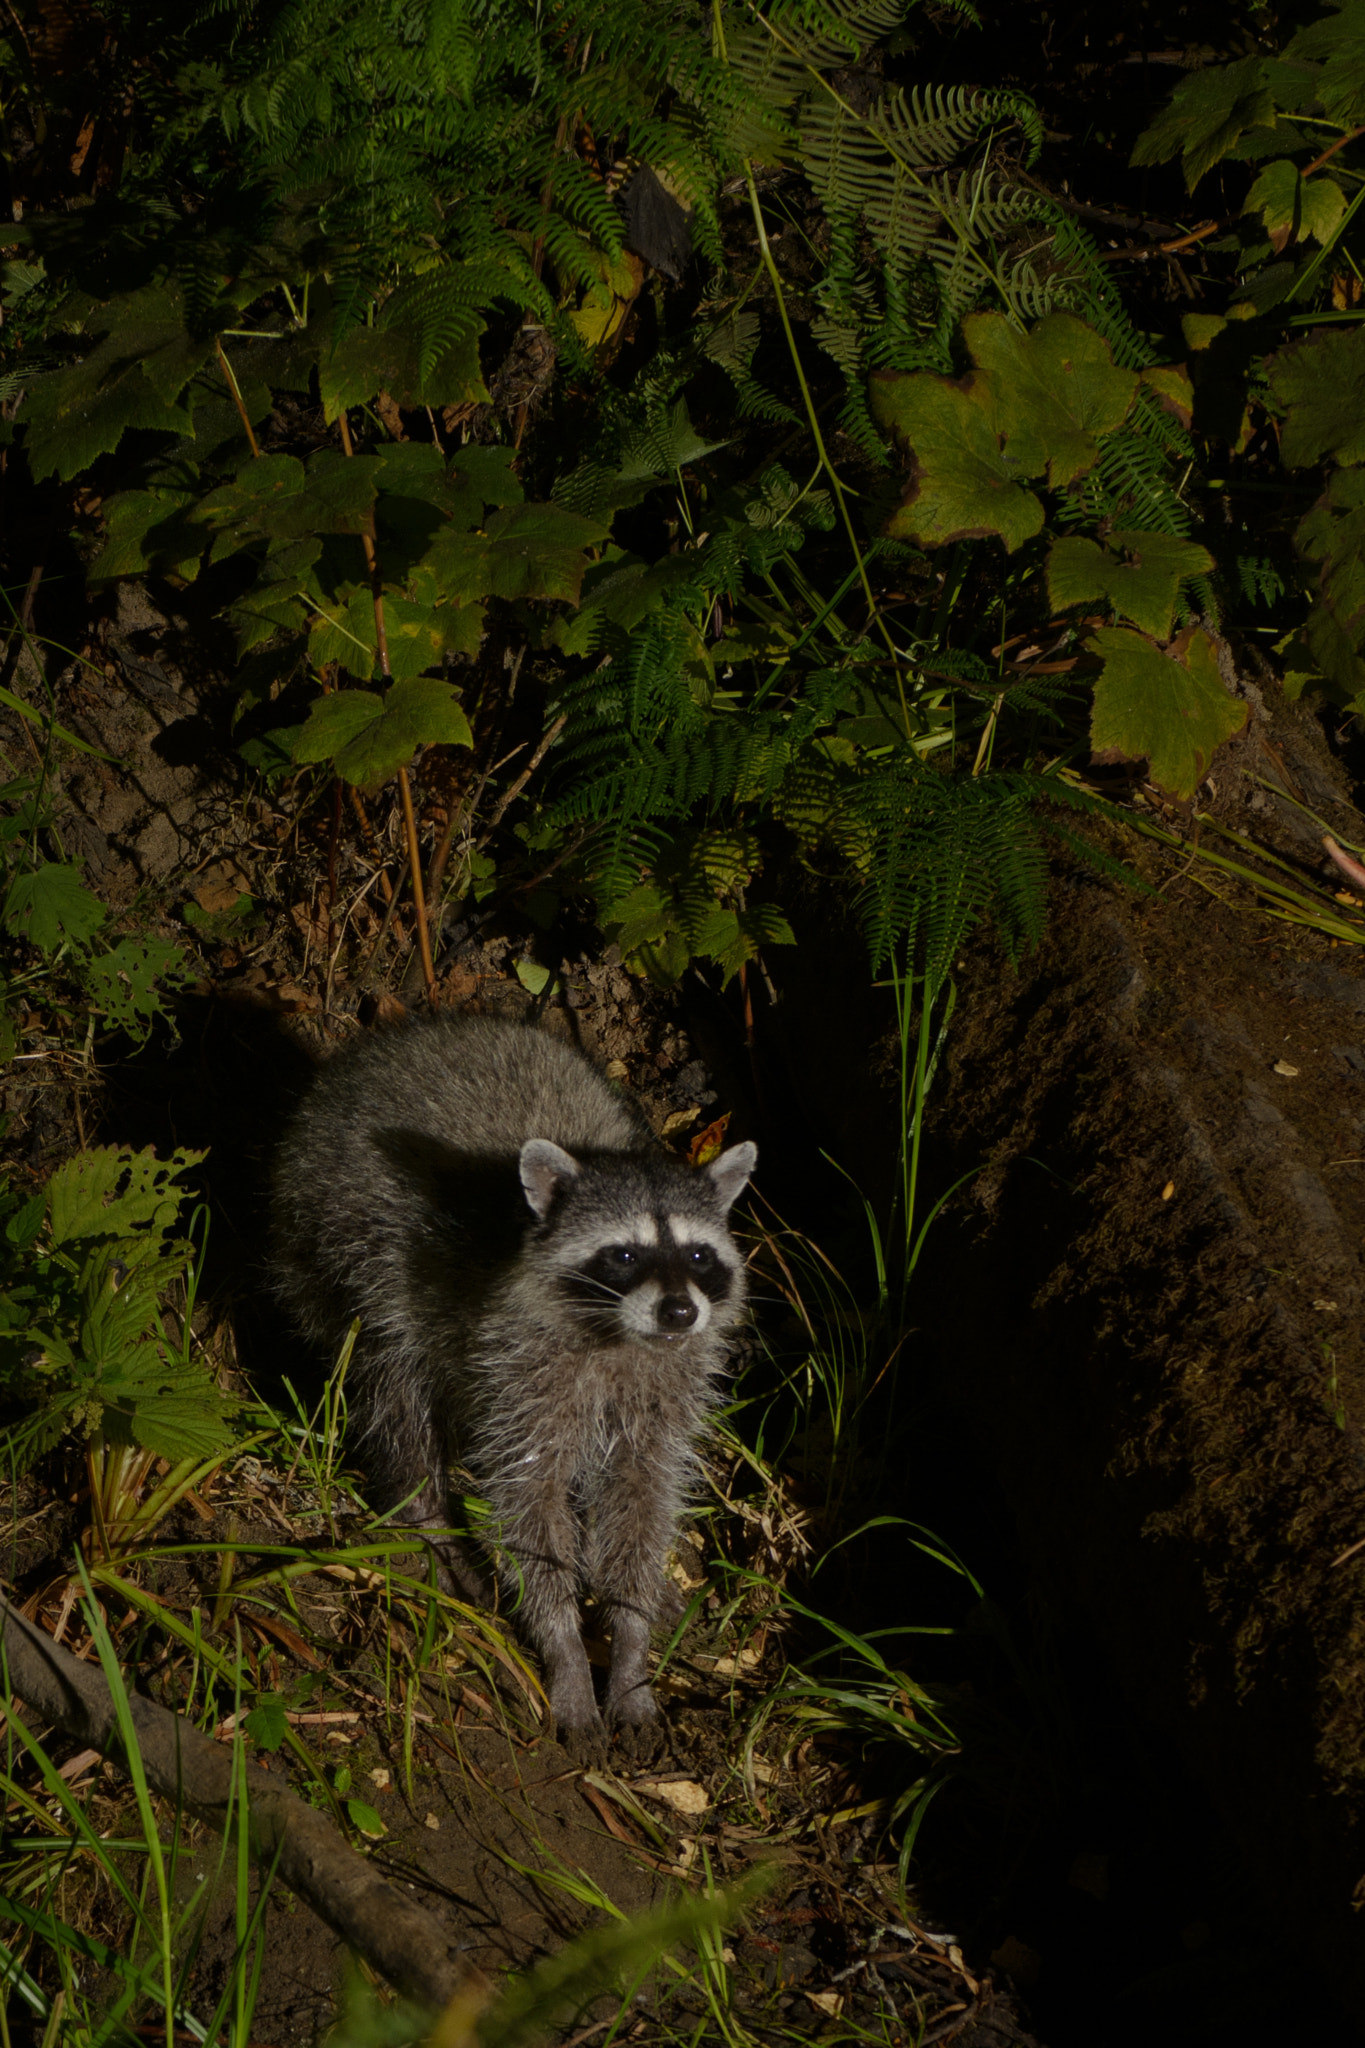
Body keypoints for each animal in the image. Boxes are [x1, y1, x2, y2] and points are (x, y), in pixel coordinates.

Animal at [270, 1014, 755, 1752]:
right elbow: (529, 1502)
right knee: (395, 1386)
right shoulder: (518, 1370)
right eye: (623, 1255)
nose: (680, 1312)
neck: (620, 1337)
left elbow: (641, 1495)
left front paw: (631, 1641)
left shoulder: (665, 1390)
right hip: (344, 1242)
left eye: (699, 1255)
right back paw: (427, 1515)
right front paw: (566, 1652)